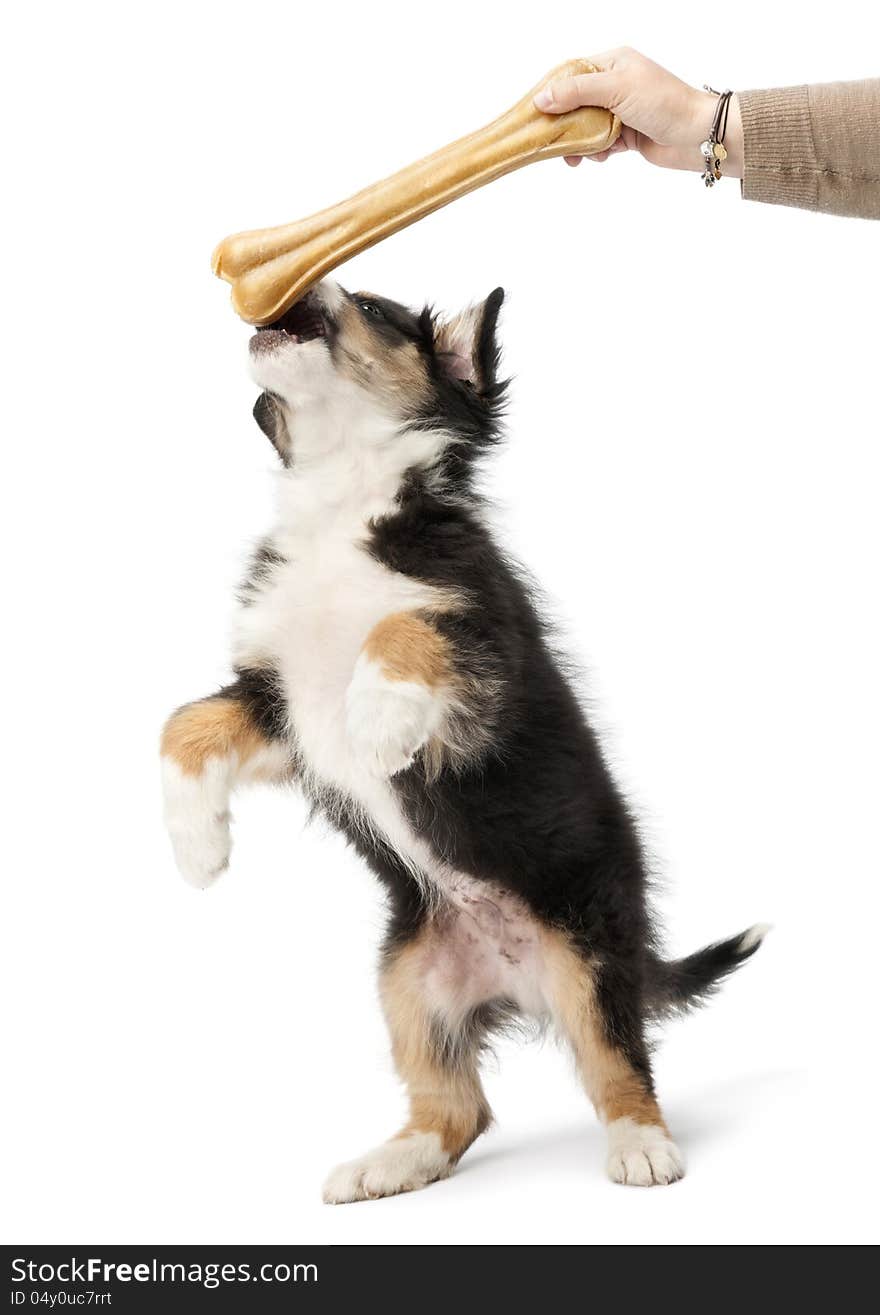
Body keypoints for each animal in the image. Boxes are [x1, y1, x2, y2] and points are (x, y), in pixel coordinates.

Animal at [161, 280, 762, 1204]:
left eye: (372, 304)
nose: (308, 287)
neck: (341, 499)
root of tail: (520, 979)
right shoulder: (279, 702)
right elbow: (184, 721)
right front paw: (196, 844)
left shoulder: (482, 639)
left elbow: (405, 626)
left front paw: (378, 718)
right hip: (410, 978)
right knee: (458, 1106)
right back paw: (390, 1162)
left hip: (587, 946)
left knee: (616, 1060)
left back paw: (642, 1146)